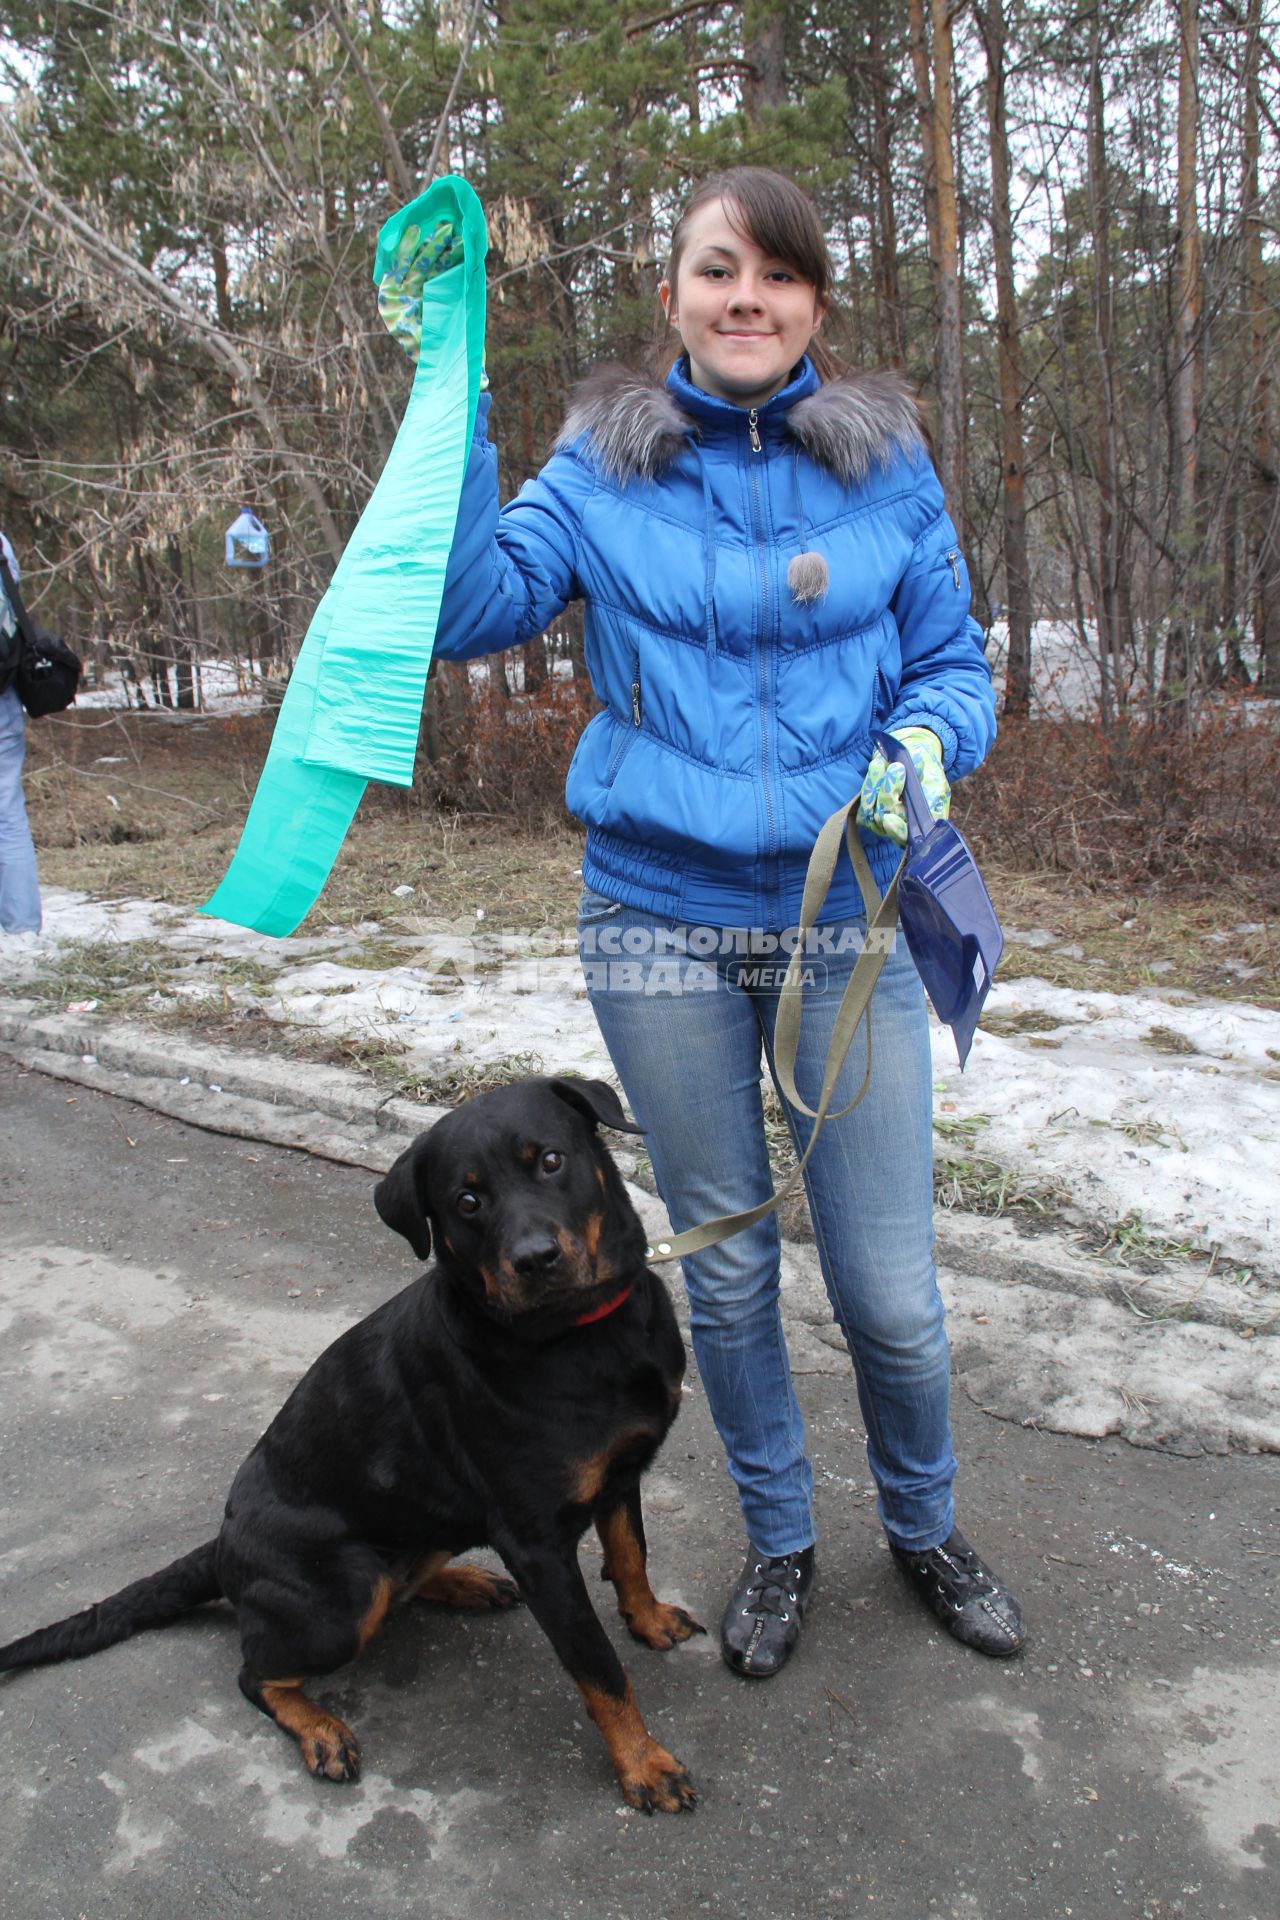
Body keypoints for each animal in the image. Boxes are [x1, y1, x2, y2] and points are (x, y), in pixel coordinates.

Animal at [0, 1082, 702, 1812]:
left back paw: (461, 1581)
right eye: (467, 1201)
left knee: (404, 1581)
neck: (579, 1335)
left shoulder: (619, 1475)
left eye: (551, 1161)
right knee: (258, 1673)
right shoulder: (537, 1544)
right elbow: (598, 1667)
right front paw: (643, 1764)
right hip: (342, 1600)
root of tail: (221, 1546)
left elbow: (631, 1556)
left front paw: (648, 1619)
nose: (535, 1259)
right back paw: (321, 1730)